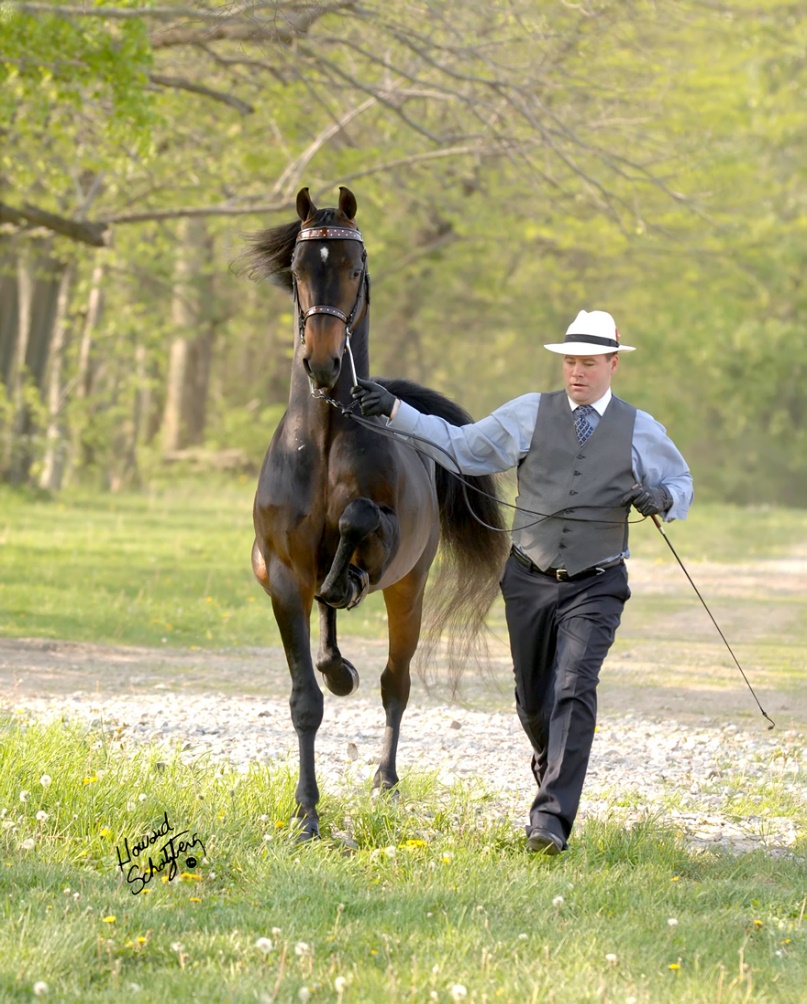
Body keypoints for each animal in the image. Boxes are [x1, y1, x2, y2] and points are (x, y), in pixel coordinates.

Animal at [239, 188, 507, 839]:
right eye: (298, 269)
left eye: (355, 269)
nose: (323, 363)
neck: (326, 434)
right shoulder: (284, 579)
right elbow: (304, 700)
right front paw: (306, 813)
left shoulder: (382, 539)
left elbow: (358, 517)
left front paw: (348, 576)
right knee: (331, 645)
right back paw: (337, 661)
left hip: (410, 589)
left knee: (395, 683)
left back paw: (385, 779)